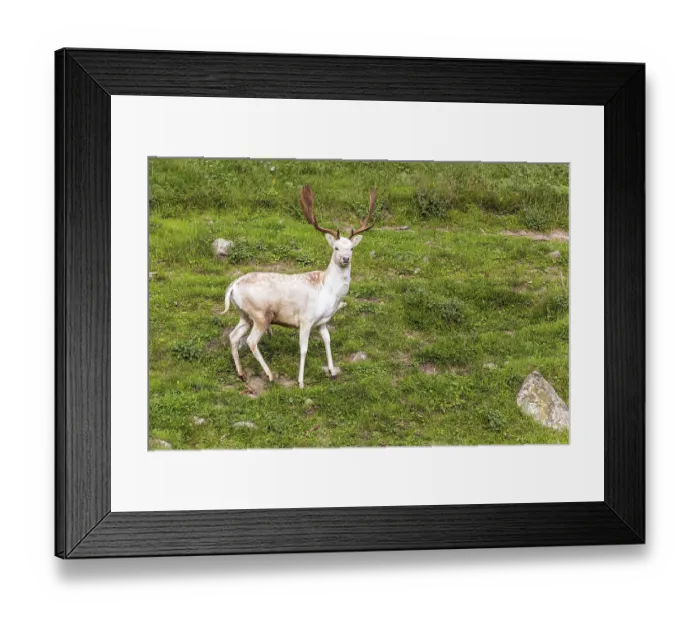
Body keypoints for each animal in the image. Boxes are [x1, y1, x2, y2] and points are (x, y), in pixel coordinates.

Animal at [221, 185, 376, 388]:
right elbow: (303, 349)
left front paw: (333, 372)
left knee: (233, 336)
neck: (328, 292)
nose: (345, 258)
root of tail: (232, 286)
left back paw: (241, 374)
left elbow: (328, 340)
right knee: (251, 341)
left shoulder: (322, 321)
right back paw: (270, 375)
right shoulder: (306, 319)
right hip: (261, 315)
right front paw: (301, 382)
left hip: (244, 315)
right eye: (335, 247)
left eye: (351, 248)